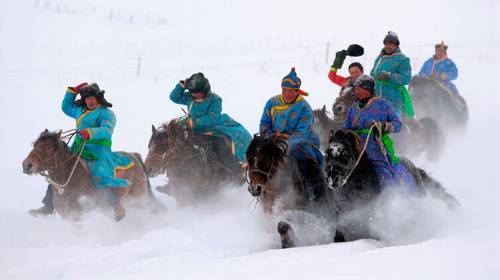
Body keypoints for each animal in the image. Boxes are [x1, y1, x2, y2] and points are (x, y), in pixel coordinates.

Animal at [21, 130, 158, 221]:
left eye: (48, 148)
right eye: (35, 145)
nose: (27, 165)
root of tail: (134, 156)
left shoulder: (77, 216)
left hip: (138, 197)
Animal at [324, 129, 460, 241]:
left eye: (346, 153)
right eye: (327, 154)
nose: (332, 179)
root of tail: (414, 168)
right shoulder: (342, 215)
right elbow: (339, 236)